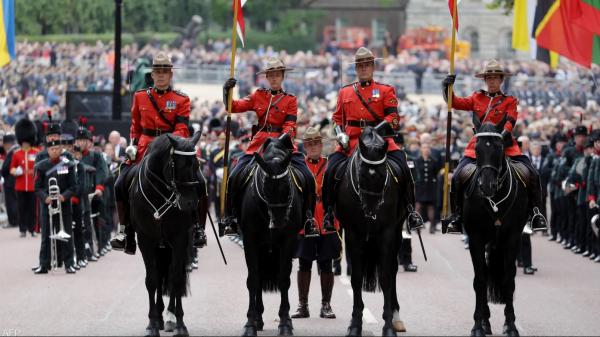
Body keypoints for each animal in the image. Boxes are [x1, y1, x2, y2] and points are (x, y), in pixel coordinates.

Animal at [124, 132, 204, 336]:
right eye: (178, 165)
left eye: (196, 165)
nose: (189, 203)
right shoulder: (145, 240)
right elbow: (152, 280)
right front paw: (152, 324)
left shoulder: (179, 239)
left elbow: (176, 279)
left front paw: (180, 324)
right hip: (159, 246)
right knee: (159, 275)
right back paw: (160, 317)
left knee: (170, 274)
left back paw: (169, 317)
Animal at [239, 135, 304, 336]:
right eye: (266, 186)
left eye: (288, 185)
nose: (279, 222)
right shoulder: (250, 240)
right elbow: (253, 280)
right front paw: (250, 323)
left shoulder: (288, 241)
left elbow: (284, 279)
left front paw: (285, 322)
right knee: (258, 277)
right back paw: (257, 319)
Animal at [336, 126, 406, 336]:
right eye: (361, 174)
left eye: (383, 174)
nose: (370, 210)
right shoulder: (352, 234)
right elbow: (357, 277)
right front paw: (355, 323)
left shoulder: (387, 232)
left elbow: (385, 277)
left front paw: (388, 325)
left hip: (397, 233)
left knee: (392, 270)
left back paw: (397, 318)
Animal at [462, 116, 528, 336]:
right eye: (477, 148)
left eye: (499, 147)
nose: (486, 186)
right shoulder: (475, 238)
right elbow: (480, 280)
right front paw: (478, 325)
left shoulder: (513, 237)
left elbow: (509, 280)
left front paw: (510, 325)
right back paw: (485, 322)